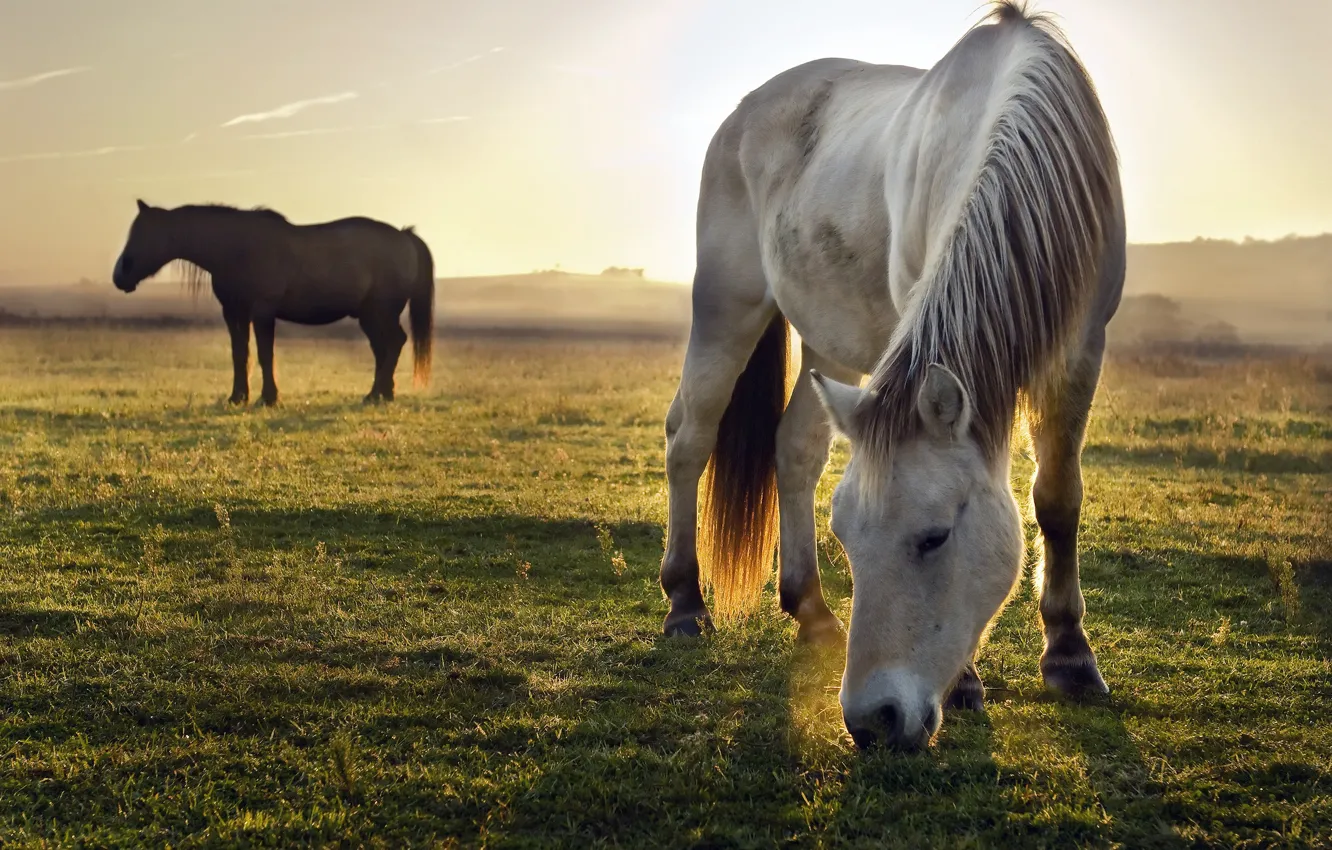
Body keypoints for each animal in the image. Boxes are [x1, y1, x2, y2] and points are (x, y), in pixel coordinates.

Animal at [110, 199, 431, 405]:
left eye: (144, 234)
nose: (119, 274)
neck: (237, 249)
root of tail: (404, 235)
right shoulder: (234, 312)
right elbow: (240, 354)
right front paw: (238, 396)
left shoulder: (262, 312)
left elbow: (266, 355)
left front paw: (268, 397)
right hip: (369, 316)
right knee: (384, 348)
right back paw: (382, 393)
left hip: (380, 312)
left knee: (394, 343)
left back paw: (377, 394)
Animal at [660, 3, 1118, 756]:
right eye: (848, 538)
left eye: (934, 537)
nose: (871, 720)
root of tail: (744, 112)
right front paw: (968, 684)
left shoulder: (1082, 348)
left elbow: (1057, 499)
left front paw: (1070, 656)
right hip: (727, 305)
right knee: (689, 438)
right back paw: (684, 603)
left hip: (828, 346)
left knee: (795, 449)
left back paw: (811, 610)